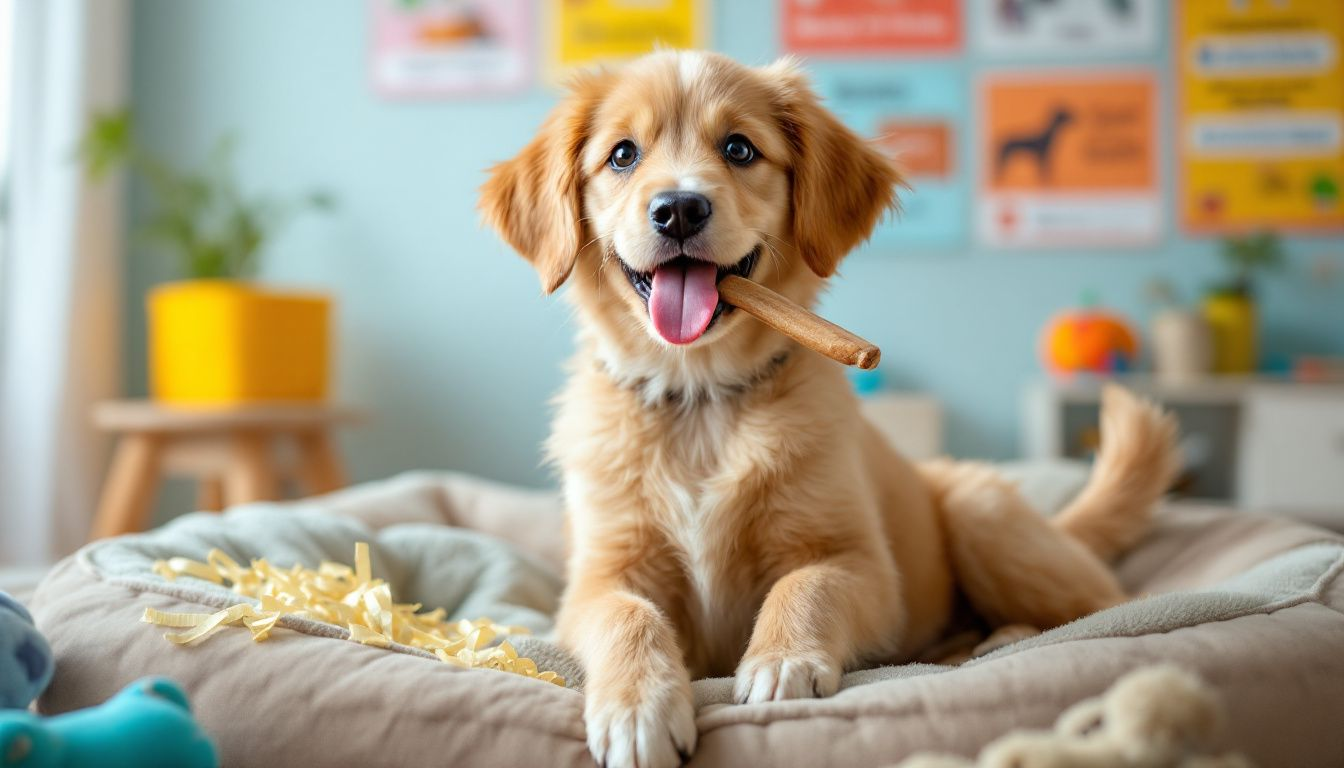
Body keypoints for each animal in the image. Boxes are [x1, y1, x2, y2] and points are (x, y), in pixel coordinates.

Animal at [483, 49, 1177, 768]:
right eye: (622, 155)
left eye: (739, 148)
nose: (678, 209)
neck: (702, 399)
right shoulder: (597, 579)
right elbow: (627, 616)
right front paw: (636, 707)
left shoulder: (863, 564)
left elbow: (809, 585)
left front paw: (782, 662)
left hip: (981, 511)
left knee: (1106, 604)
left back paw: (1000, 640)